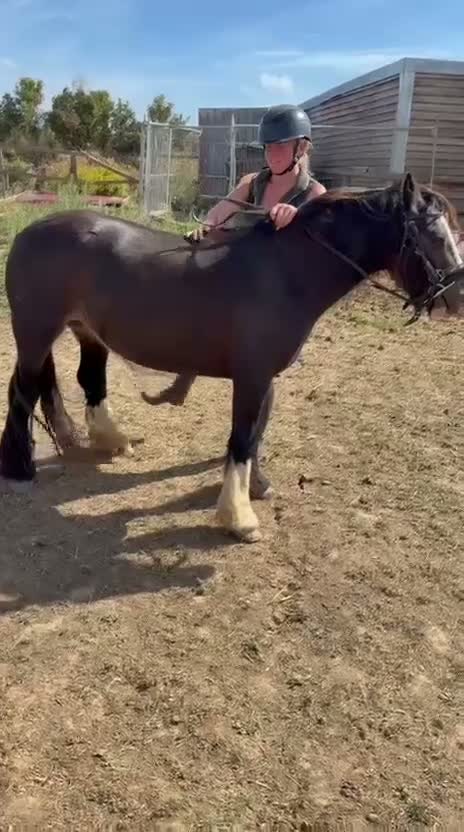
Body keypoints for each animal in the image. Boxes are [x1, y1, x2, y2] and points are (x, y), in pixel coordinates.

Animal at [1, 173, 463, 543]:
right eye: (436, 236)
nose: (454, 298)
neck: (285, 272)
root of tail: (30, 233)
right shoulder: (252, 377)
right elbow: (241, 439)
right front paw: (239, 517)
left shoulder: (264, 378)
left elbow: (255, 435)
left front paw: (254, 490)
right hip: (36, 333)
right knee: (23, 388)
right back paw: (20, 468)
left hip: (87, 333)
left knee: (88, 380)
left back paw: (111, 440)